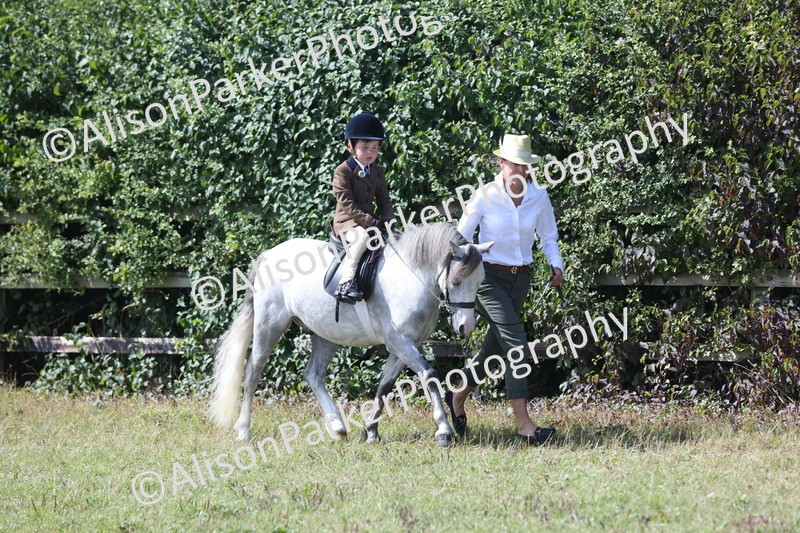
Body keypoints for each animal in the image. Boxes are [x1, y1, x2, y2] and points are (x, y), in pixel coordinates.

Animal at [209, 222, 492, 446]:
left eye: (479, 282)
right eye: (456, 282)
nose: (466, 327)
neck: (412, 276)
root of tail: (268, 255)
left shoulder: (403, 346)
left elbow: (384, 385)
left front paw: (371, 432)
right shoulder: (401, 342)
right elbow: (430, 376)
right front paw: (443, 430)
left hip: (325, 335)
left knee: (313, 374)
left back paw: (337, 426)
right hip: (270, 325)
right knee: (253, 372)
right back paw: (244, 430)